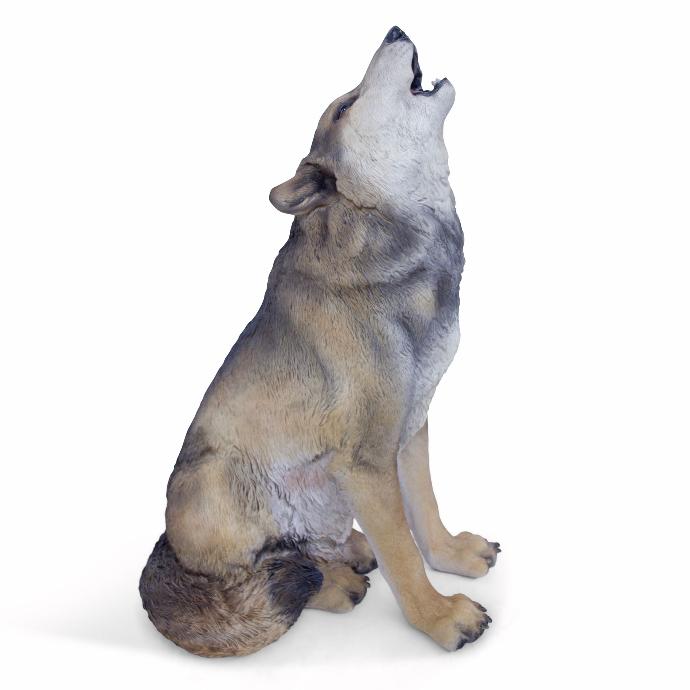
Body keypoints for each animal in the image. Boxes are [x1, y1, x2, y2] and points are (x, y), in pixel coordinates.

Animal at [140, 26, 499, 657]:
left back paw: (347, 550)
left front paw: (451, 554)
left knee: (304, 548)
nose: (395, 30)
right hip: (212, 479)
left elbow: (423, 511)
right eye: (346, 107)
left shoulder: (411, 428)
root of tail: (165, 550)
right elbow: (404, 553)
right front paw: (439, 617)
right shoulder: (366, 461)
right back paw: (333, 582)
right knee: (250, 579)